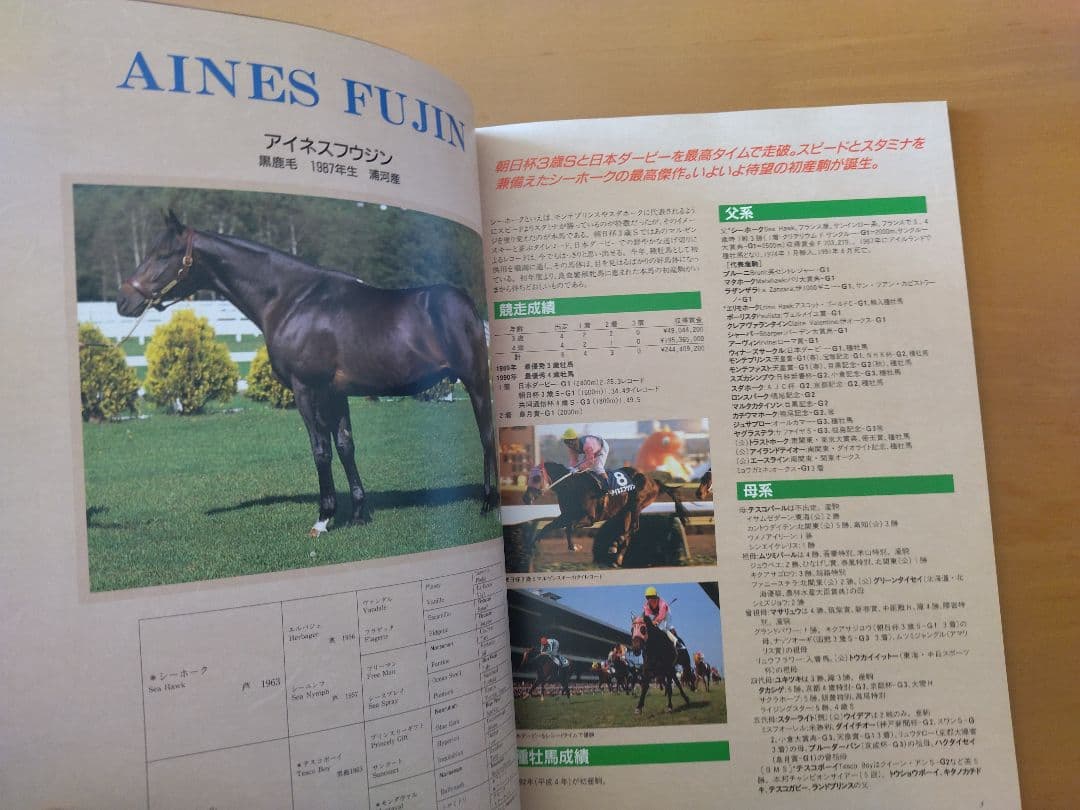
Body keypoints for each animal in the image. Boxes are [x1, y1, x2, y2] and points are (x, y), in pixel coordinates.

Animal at [117, 211, 499, 537]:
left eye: (164, 254)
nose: (123, 301)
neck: (292, 299)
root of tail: (468, 304)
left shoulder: (306, 389)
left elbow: (320, 450)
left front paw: (324, 518)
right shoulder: (335, 392)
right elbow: (345, 446)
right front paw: (358, 514)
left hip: (477, 381)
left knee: (487, 436)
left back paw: (488, 503)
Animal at [523, 461, 687, 566]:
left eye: (536, 478)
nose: (525, 498)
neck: (573, 487)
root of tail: (654, 482)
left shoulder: (589, 518)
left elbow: (569, 527)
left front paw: (574, 547)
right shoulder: (566, 515)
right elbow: (548, 527)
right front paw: (530, 548)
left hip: (636, 504)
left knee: (633, 528)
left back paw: (616, 546)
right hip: (625, 511)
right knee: (627, 530)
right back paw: (617, 555)